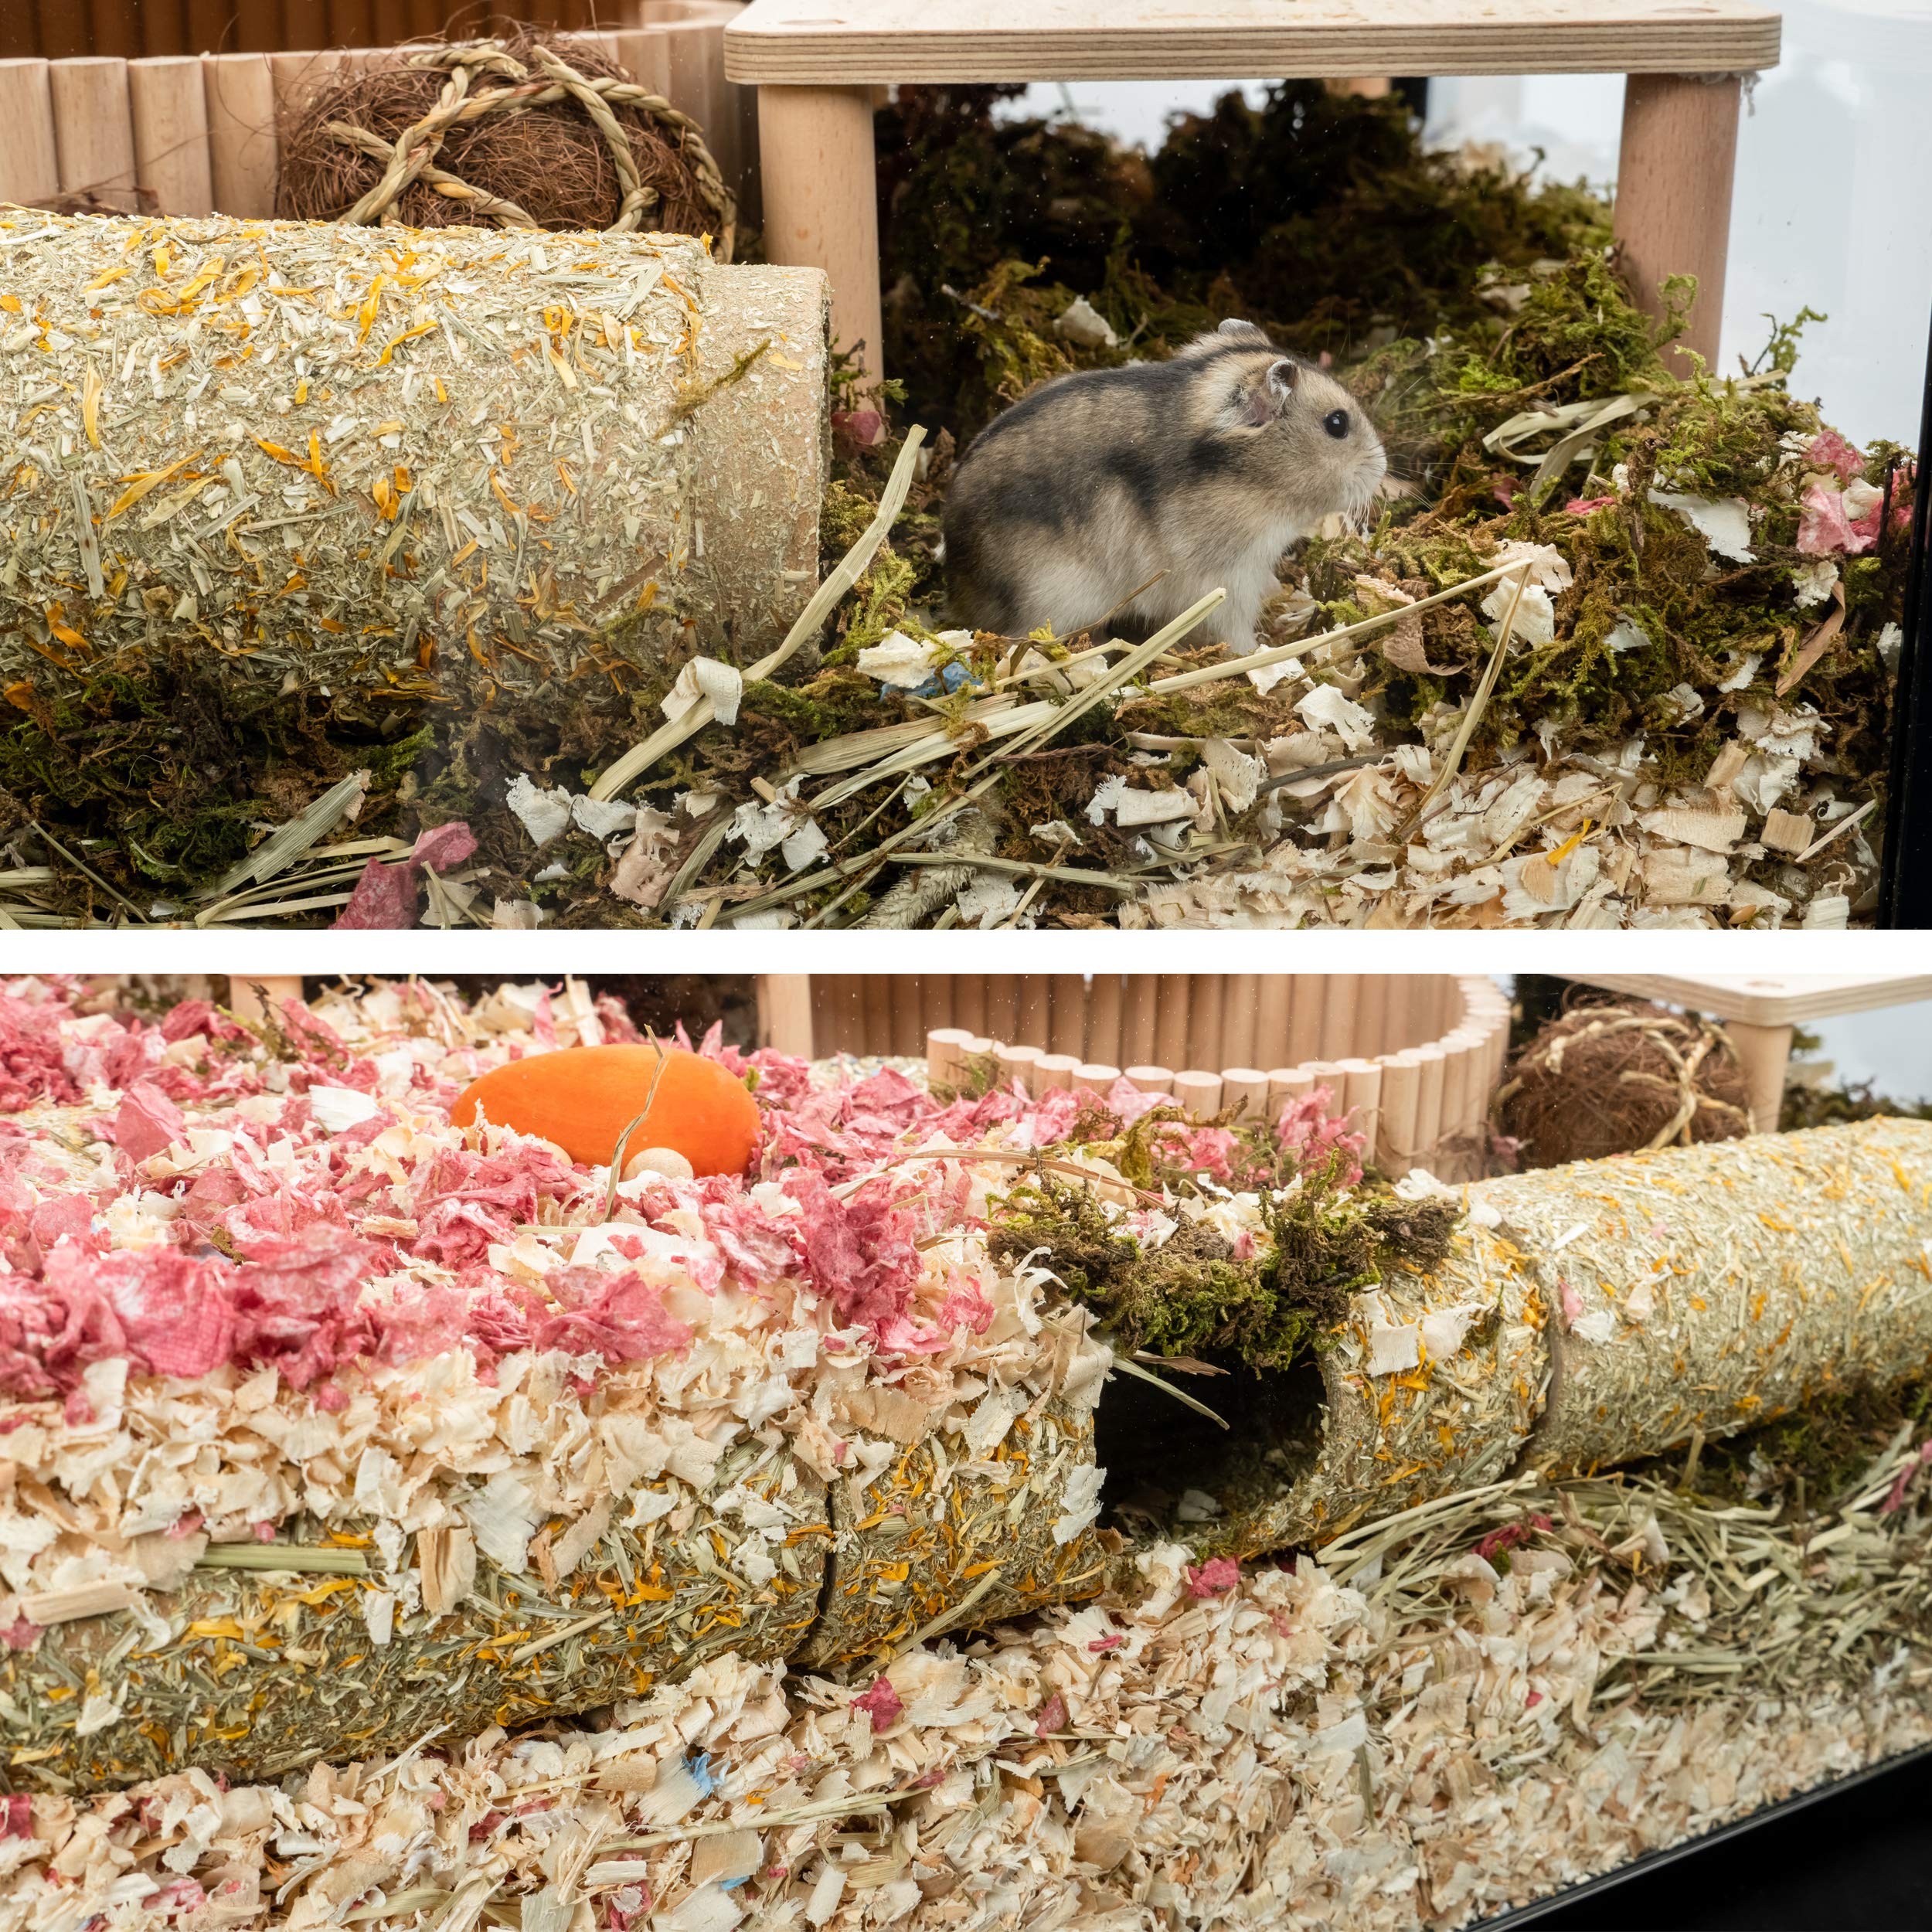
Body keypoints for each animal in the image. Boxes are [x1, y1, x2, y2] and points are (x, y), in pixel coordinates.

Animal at [942, 319, 1387, 653]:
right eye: (1337, 424)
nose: (1382, 468)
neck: (1252, 482)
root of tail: (957, 593)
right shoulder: (1227, 582)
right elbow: (1236, 632)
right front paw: (1261, 651)